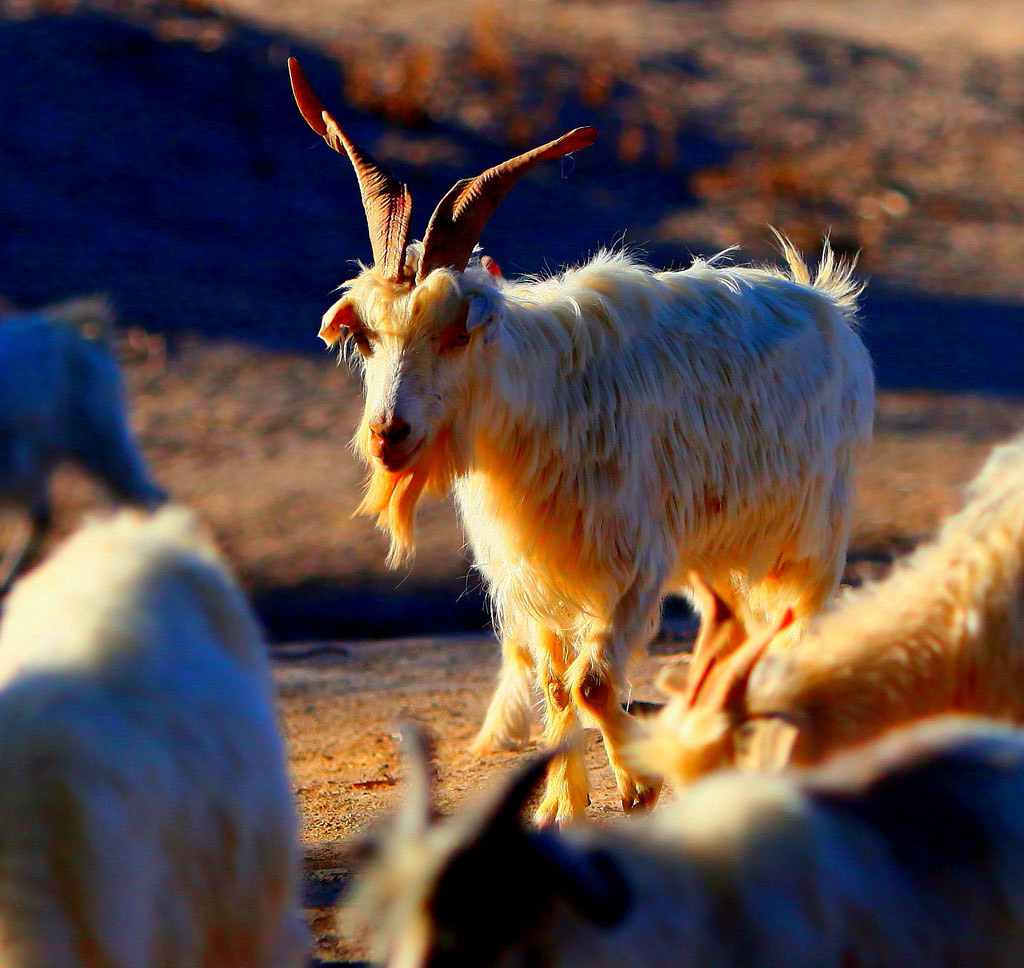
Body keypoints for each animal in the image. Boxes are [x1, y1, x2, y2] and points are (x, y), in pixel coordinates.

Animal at [286, 56, 872, 819]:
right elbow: (558, 684)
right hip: (713, 549)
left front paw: (639, 783)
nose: (390, 434)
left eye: (454, 334)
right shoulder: (530, 574)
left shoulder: (637, 563)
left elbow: (591, 683)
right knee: (731, 630)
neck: (539, 400)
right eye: (365, 336)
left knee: (796, 628)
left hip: (811, 534)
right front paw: (563, 803)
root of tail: (825, 299)